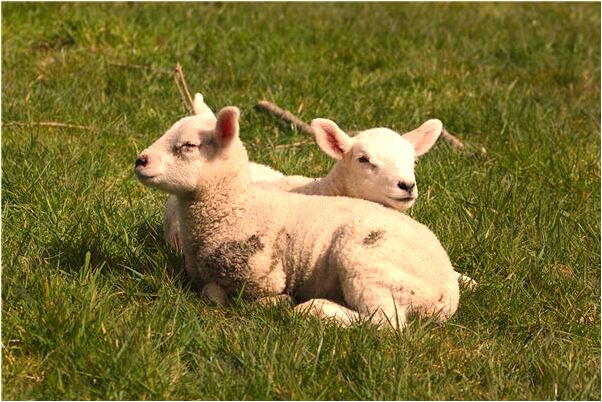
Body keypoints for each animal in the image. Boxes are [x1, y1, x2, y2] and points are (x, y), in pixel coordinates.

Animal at [135, 104, 460, 330]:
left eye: (188, 146)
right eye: (363, 159)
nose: (140, 160)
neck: (237, 206)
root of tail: (447, 293)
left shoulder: (264, 277)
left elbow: (220, 295)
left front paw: (278, 302)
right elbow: (210, 291)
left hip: (367, 260)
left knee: (386, 322)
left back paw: (314, 309)